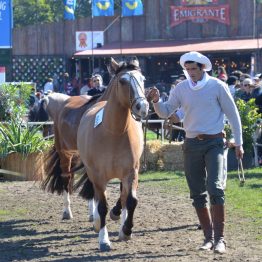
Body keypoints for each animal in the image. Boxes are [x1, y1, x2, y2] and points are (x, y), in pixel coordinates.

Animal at [76, 57, 149, 252]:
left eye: (143, 79)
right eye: (123, 81)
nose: (143, 106)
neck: (114, 132)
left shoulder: (131, 172)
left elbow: (131, 201)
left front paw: (126, 230)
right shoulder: (98, 176)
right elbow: (102, 205)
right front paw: (103, 240)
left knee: (124, 197)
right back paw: (97, 222)